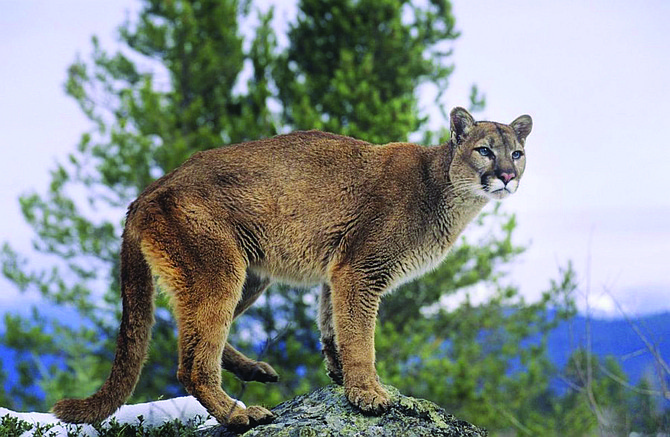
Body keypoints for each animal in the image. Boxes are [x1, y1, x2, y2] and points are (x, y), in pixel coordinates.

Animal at [52, 106, 536, 430]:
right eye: (485, 151)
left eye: (517, 152)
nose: (508, 176)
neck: (447, 191)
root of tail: (147, 191)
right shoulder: (361, 269)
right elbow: (360, 336)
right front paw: (368, 393)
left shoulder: (337, 271)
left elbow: (333, 324)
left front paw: (340, 376)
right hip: (219, 269)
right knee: (191, 363)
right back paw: (239, 414)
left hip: (248, 274)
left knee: (188, 333)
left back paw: (254, 371)